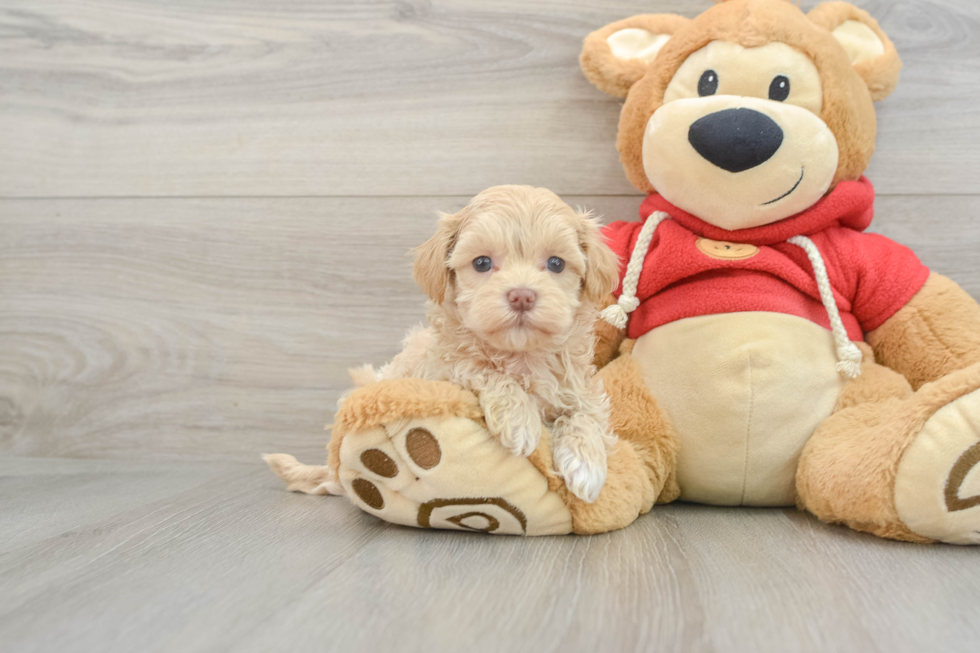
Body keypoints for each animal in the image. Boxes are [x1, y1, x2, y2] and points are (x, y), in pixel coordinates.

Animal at [368, 186, 620, 502]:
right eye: (482, 263)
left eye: (556, 263)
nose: (522, 296)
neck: (521, 356)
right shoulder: (442, 369)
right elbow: (480, 368)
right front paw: (519, 419)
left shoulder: (581, 388)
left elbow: (586, 415)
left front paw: (586, 464)